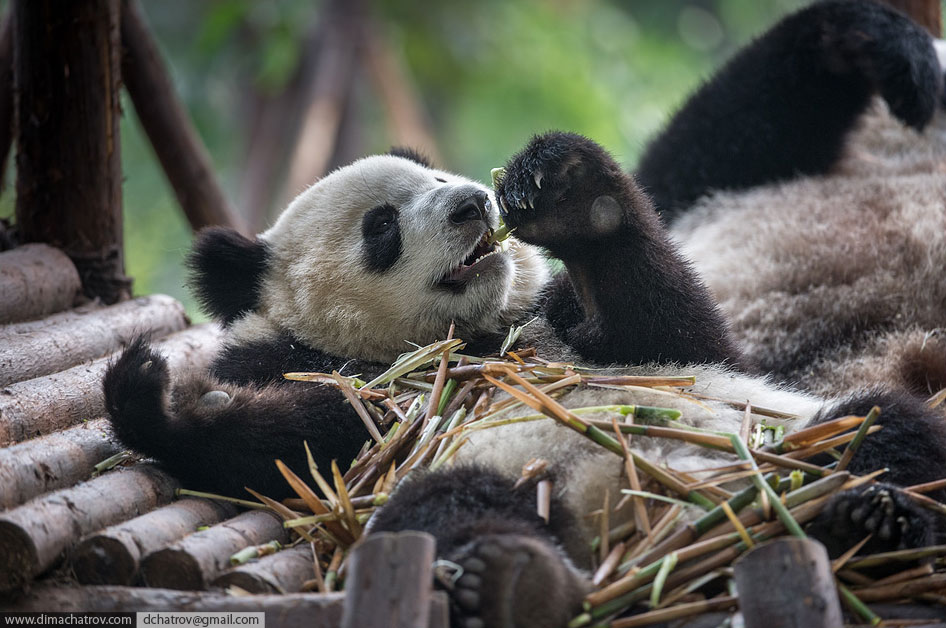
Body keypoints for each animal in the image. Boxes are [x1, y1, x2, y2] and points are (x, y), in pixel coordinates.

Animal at [103, 2, 944, 624]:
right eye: (381, 226)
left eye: (438, 176)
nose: (473, 205)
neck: (474, 336)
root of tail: (644, 521)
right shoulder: (324, 374)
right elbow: (297, 448)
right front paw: (151, 395)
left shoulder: (581, 323)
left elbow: (678, 335)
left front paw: (572, 193)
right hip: (503, 479)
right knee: (447, 508)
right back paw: (518, 580)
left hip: (782, 435)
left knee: (886, 432)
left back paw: (877, 520)